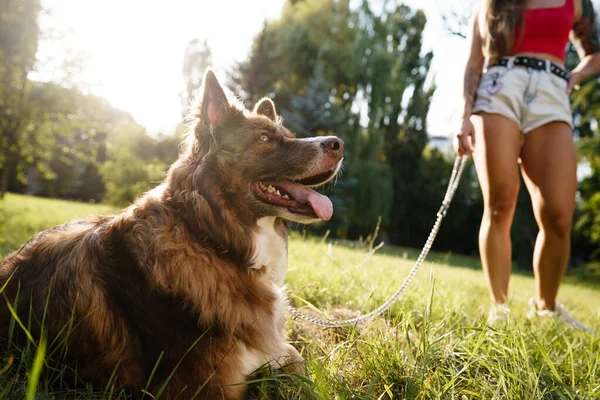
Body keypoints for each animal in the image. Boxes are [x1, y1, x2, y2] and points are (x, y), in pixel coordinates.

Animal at [0, 70, 342, 398]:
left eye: (289, 137)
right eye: (264, 138)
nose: (337, 144)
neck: (210, 239)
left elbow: (296, 360)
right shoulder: (209, 387)